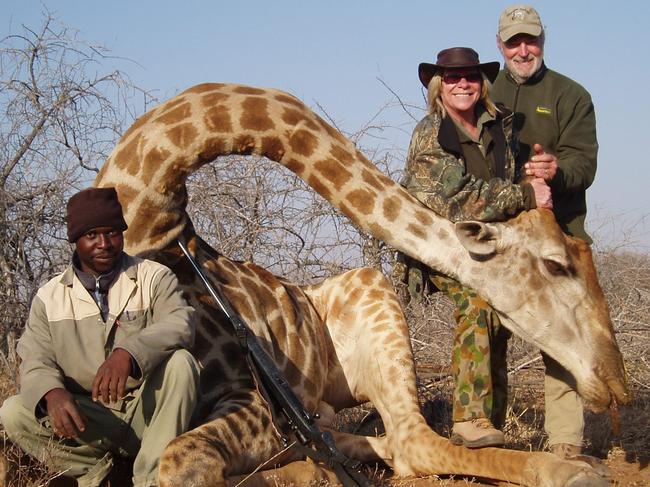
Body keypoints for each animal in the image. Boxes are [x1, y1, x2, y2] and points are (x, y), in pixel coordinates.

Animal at [93, 82, 624, 486]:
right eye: (557, 264)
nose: (614, 383)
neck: (150, 218)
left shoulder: (260, 404)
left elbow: (182, 459)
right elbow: (180, 461)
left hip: (376, 299)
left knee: (412, 442)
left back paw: (574, 469)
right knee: (391, 442)